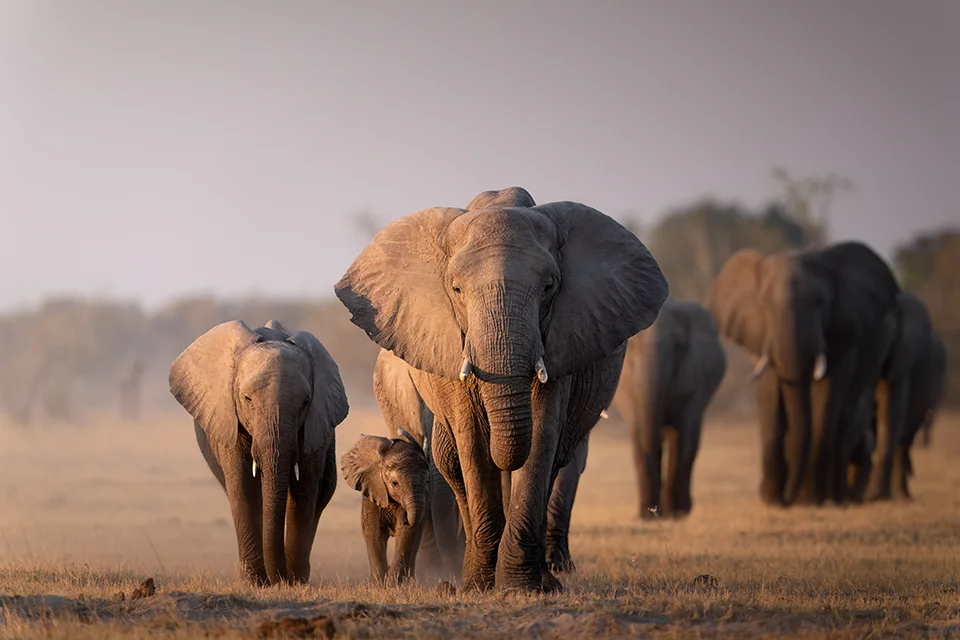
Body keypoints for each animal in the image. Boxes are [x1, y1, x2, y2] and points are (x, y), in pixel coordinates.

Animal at [168, 319, 349, 585]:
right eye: (247, 399)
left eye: (305, 403)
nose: (279, 579)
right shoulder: (229, 421)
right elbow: (243, 488)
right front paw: (255, 581)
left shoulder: (314, 426)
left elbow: (304, 490)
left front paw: (294, 582)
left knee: (323, 491)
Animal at [341, 428, 430, 585]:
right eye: (395, 483)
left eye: (427, 481)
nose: (405, 516)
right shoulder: (372, 493)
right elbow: (374, 534)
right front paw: (380, 584)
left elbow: (407, 534)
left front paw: (394, 584)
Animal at [612, 299, 727, 520]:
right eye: (633, 347)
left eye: (677, 344)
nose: (659, 511)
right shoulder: (627, 385)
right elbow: (639, 434)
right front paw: (646, 516)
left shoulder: (693, 375)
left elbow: (682, 436)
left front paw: (677, 515)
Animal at [707, 242, 900, 507]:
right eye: (765, 304)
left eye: (821, 302)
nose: (790, 498)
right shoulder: (764, 337)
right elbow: (771, 394)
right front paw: (772, 500)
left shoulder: (840, 333)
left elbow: (826, 398)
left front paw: (809, 500)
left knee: (846, 416)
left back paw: (836, 497)